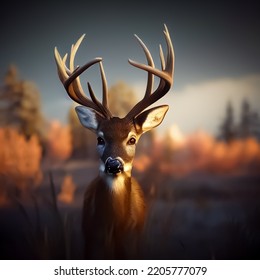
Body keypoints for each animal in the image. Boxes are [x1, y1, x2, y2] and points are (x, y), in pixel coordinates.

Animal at [53, 25, 174, 260]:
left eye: (132, 138)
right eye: (100, 138)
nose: (114, 164)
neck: (114, 230)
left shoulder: (134, 245)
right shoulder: (90, 243)